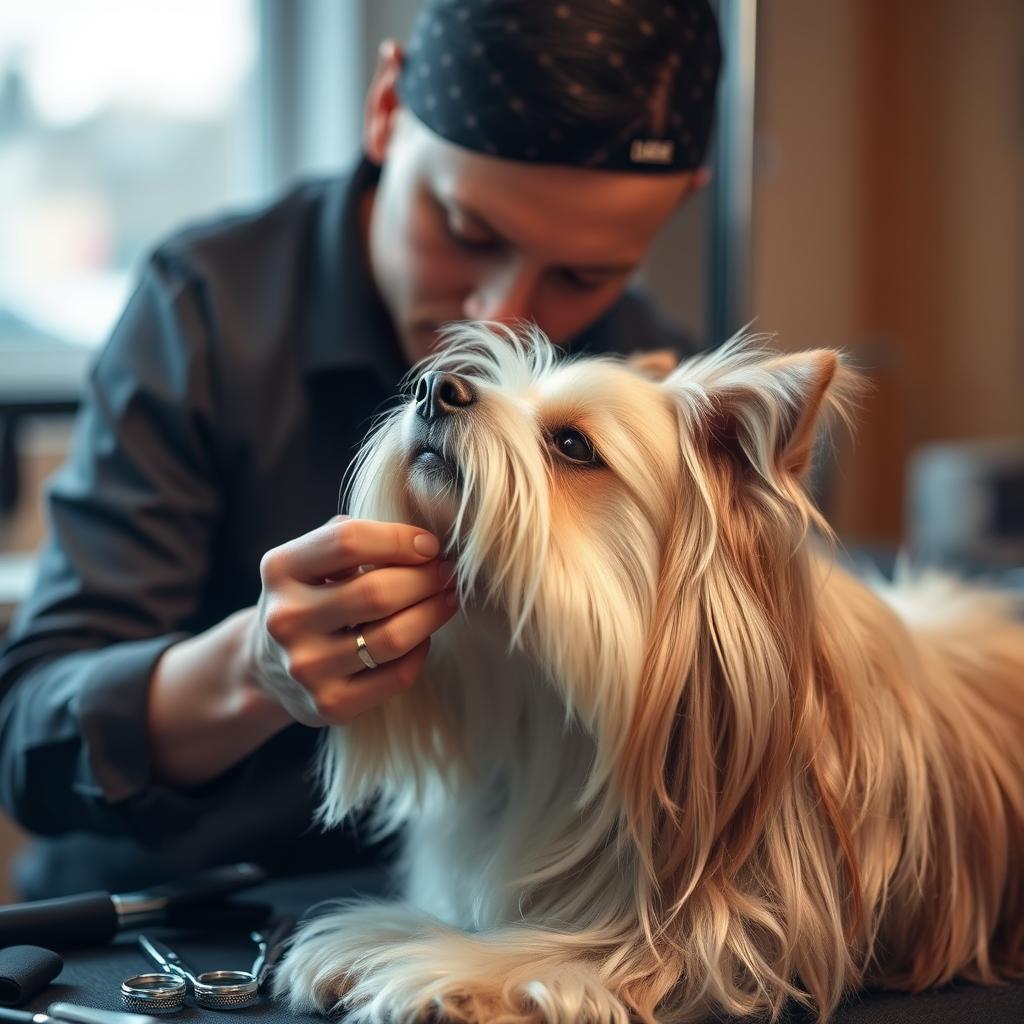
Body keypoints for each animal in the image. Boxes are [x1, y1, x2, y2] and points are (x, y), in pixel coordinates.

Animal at [274, 323, 1024, 1019]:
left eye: (573, 445)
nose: (435, 388)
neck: (552, 706)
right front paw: (382, 935)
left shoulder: (742, 928)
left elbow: (582, 953)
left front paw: (439, 970)